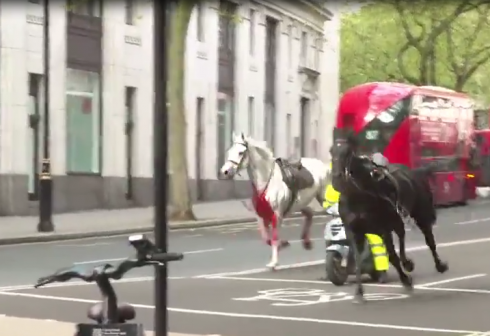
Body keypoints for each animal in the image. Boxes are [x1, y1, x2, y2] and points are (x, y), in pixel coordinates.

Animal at [219, 133, 330, 270]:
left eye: (240, 152)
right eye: (229, 151)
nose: (225, 171)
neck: (267, 180)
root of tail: (324, 165)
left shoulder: (277, 215)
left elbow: (274, 237)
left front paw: (274, 262)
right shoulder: (261, 216)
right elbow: (267, 238)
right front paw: (283, 244)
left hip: (323, 199)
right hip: (300, 203)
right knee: (309, 213)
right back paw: (306, 242)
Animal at [330, 132, 448, 304]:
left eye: (348, 152)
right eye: (331, 151)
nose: (336, 178)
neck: (359, 196)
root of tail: (414, 172)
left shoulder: (383, 229)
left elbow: (392, 257)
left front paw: (406, 281)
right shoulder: (354, 232)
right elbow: (356, 261)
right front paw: (359, 292)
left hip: (420, 215)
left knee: (429, 241)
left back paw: (437, 265)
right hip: (396, 220)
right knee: (402, 234)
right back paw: (407, 263)